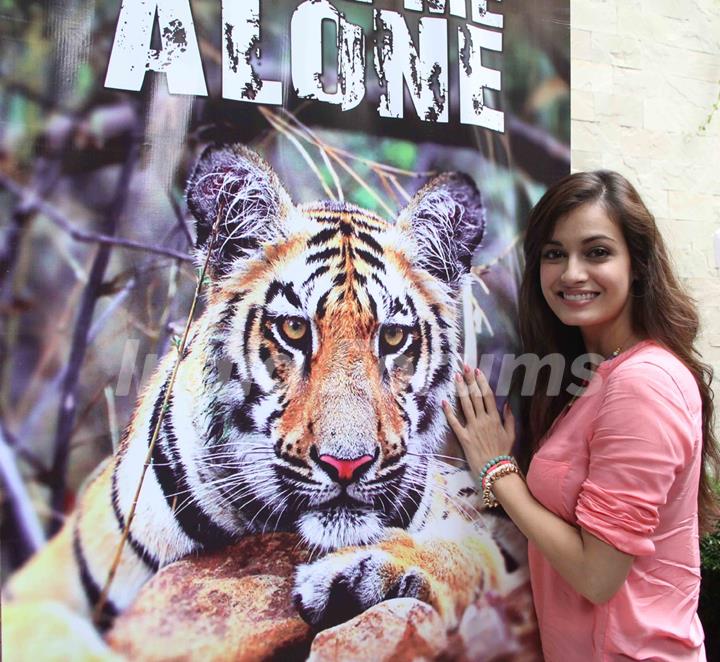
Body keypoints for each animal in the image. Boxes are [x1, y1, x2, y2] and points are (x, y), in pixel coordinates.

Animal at [4, 143, 524, 660]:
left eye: (393, 338)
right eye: (293, 329)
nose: (347, 465)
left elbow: (468, 554)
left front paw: (368, 573)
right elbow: (51, 630)